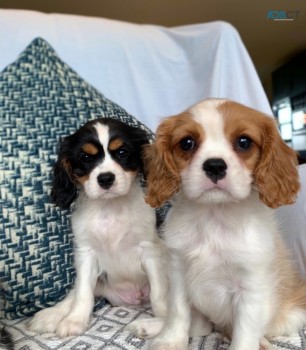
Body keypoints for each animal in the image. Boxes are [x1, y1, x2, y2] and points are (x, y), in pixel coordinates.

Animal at [28, 118, 167, 340]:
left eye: (122, 152)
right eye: (85, 157)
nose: (106, 178)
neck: (110, 207)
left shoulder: (151, 250)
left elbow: (159, 292)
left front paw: (164, 320)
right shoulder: (86, 253)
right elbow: (83, 292)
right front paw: (75, 320)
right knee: (74, 292)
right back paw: (50, 315)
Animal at [130, 99, 306, 350]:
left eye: (243, 142)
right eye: (187, 143)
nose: (214, 166)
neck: (213, 216)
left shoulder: (251, 288)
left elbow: (244, 335)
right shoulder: (178, 273)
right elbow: (178, 314)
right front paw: (170, 341)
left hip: (292, 314)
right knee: (200, 326)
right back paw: (153, 325)